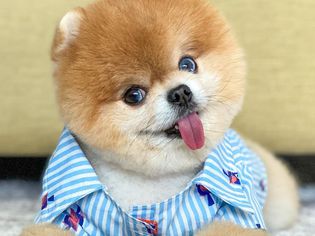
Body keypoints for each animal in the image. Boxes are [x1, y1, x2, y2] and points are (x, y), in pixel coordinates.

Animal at [22, 0, 298, 236]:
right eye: (134, 95)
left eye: (187, 64)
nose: (181, 93)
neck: (153, 180)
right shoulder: (69, 214)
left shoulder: (236, 214)